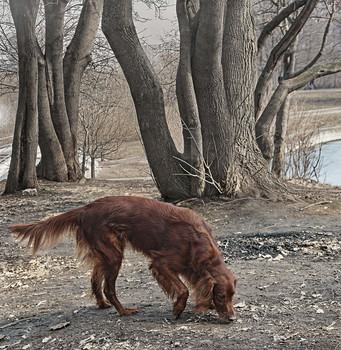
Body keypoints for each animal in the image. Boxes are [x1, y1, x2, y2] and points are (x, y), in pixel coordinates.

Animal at [8, 196, 236, 322]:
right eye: (221, 296)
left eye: (232, 296)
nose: (232, 318)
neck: (198, 243)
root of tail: (85, 209)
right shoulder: (160, 263)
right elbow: (183, 290)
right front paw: (178, 310)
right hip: (114, 254)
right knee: (109, 287)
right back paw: (123, 310)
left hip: (105, 254)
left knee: (94, 279)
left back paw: (102, 304)